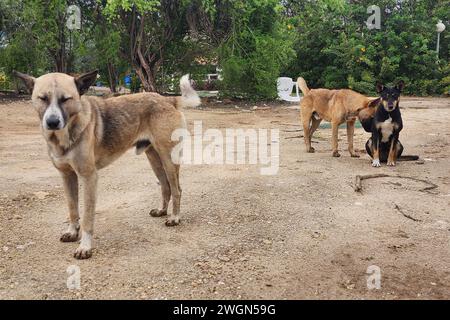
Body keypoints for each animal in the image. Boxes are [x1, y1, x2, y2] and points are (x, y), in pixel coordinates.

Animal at [14, 70, 200, 258]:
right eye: (42, 98)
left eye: (66, 99)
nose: (52, 122)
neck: (64, 135)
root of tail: (168, 100)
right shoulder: (67, 176)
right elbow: (72, 209)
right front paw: (72, 232)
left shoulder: (89, 177)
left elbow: (87, 217)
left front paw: (85, 247)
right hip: (154, 159)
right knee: (165, 186)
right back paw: (162, 211)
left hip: (169, 159)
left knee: (177, 190)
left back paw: (174, 218)